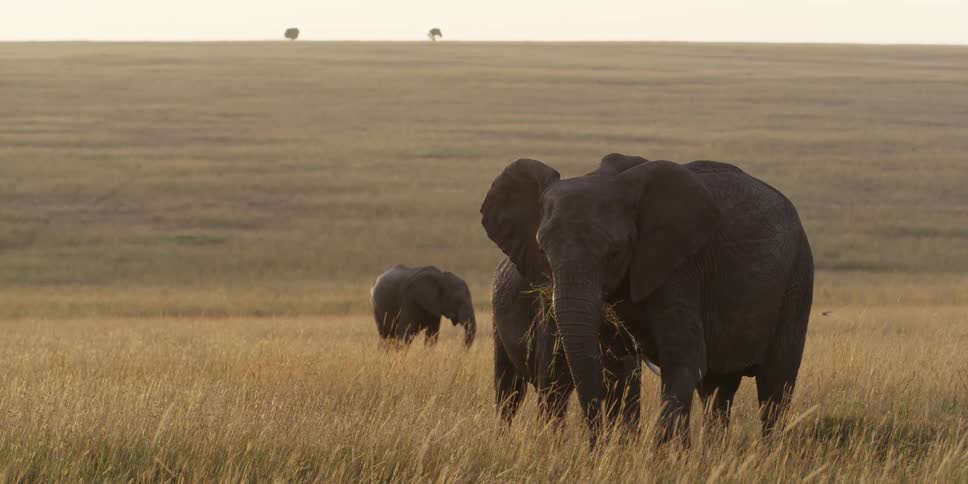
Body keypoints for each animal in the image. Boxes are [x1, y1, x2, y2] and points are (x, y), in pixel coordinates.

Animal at [481, 153, 814, 444]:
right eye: (542, 251)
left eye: (614, 252)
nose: (594, 441)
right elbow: (614, 366)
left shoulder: (679, 268)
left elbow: (684, 358)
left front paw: (665, 459)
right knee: (718, 390)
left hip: (798, 278)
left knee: (775, 385)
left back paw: (767, 453)